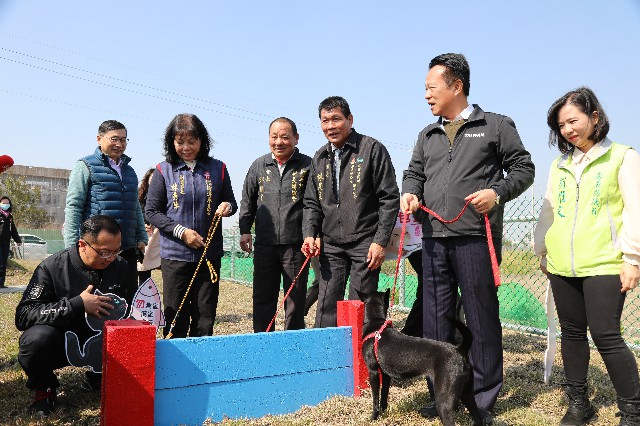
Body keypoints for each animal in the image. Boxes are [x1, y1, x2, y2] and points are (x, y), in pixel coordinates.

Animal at [360, 290, 490, 426]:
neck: (376, 323)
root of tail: (459, 350)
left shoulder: (373, 372)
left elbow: (375, 398)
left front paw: (373, 417)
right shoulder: (385, 374)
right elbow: (384, 395)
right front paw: (384, 412)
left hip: (444, 400)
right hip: (467, 393)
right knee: (477, 416)